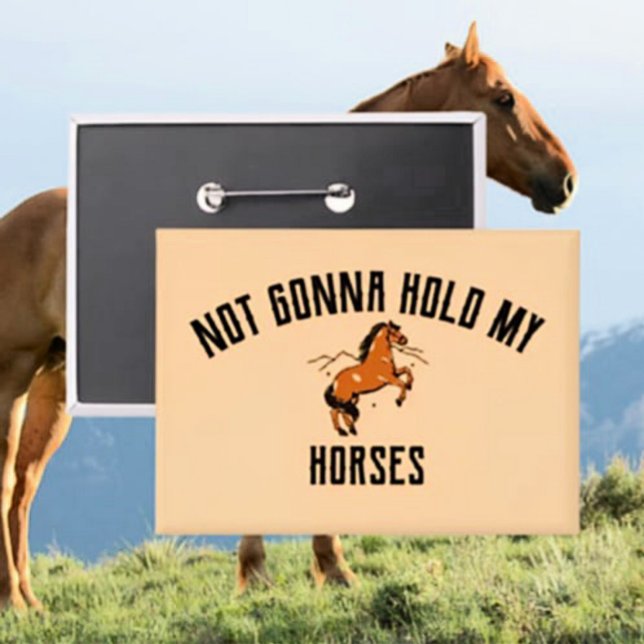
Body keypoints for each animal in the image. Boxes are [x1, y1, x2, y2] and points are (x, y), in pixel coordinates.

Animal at [0, 22, 578, 610]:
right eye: (503, 98)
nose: (565, 179)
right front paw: (298, 569)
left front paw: (292, 569)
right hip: (13, 379)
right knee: (6, 483)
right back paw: (12, 601)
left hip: (54, 388)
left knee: (23, 487)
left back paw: (30, 599)